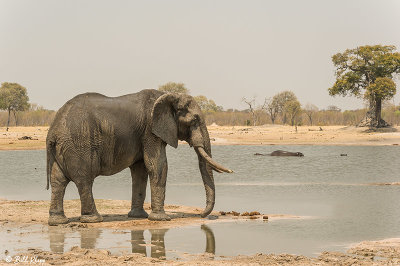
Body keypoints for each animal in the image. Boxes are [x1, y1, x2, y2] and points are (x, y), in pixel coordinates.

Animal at [45, 89, 233, 224]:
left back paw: (58, 221)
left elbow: (140, 170)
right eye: (194, 121)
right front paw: (161, 219)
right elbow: (158, 165)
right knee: (84, 180)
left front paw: (138, 216)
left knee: (58, 181)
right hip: (80, 144)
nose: (202, 215)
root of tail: (54, 131)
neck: (167, 95)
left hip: (64, 147)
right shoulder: (151, 131)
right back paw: (94, 219)